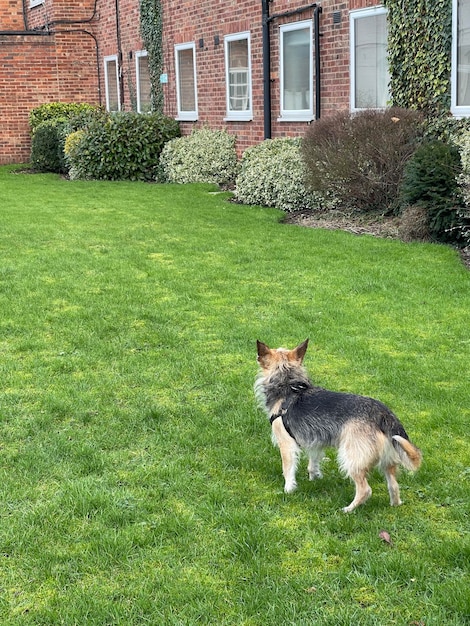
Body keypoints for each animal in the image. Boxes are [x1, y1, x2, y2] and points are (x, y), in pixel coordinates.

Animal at [255, 338, 424, 510]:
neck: (289, 386)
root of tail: (383, 414)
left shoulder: (286, 444)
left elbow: (287, 469)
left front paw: (288, 490)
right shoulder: (315, 443)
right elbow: (313, 464)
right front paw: (314, 478)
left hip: (352, 457)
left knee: (365, 489)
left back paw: (349, 509)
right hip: (388, 460)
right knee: (394, 486)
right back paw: (394, 504)